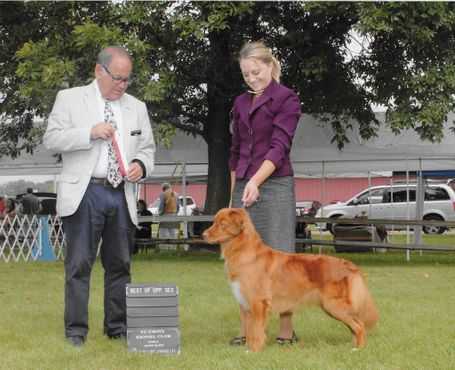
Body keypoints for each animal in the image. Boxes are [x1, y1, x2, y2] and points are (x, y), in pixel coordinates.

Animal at [205, 208, 380, 352]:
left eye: (222, 224)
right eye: (214, 222)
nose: (204, 235)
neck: (243, 250)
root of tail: (348, 264)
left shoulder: (258, 303)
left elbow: (256, 331)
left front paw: (253, 351)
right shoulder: (246, 303)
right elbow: (250, 331)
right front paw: (249, 348)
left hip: (334, 305)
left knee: (360, 326)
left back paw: (358, 350)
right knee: (355, 326)